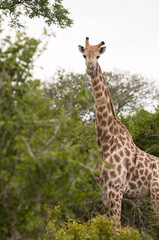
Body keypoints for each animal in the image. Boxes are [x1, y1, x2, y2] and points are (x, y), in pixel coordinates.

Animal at [78, 37, 159, 225]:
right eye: (84, 55)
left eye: (98, 56)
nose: (90, 68)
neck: (106, 141)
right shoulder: (104, 191)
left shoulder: (116, 188)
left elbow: (116, 226)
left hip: (156, 195)